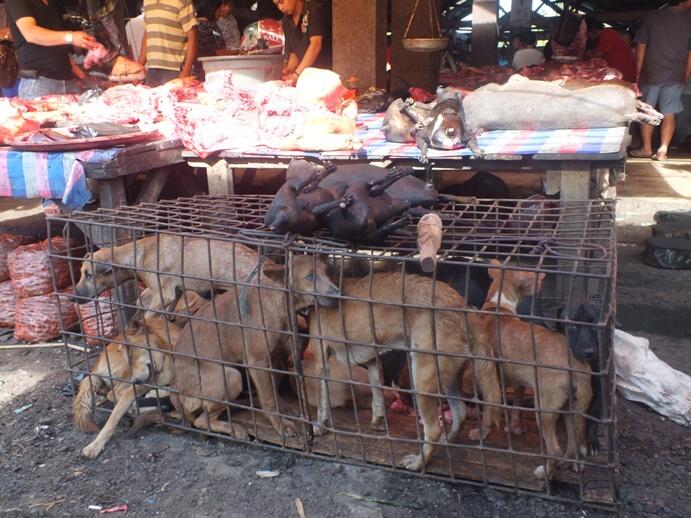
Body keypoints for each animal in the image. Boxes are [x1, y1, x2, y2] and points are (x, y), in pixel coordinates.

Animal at [73, 235, 262, 316]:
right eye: (82, 273)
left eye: (88, 275)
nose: (72, 298)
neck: (138, 254)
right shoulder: (176, 293)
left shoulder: (162, 295)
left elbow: (148, 317)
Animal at [74, 318, 182, 462]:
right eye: (128, 358)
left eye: (131, 355)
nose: (134, 381)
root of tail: (95, 366)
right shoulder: (140, 384)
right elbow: (112, 418)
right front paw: (95, 445)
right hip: (124, 376)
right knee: (112, 393)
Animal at [308, 274, 502, 474]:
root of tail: (464, 309)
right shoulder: (373, 361)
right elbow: (377, 396)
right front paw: (377, 421)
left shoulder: (321, 363)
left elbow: (323, 403)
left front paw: (320, 427)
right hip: (448, 381)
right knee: (460, 413)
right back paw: (448, 441)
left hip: (422, 383)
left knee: (433, 429)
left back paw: (418, 463)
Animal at [476, 264, 596, 484]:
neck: (498, 307)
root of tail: (577, 365)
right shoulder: (518, 383)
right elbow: (515, 408)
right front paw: (514, 427)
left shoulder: (489, 379)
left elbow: (488, 412)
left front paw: (480, 433)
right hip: (570, 409)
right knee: (573, 443)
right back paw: (564, 464)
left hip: (544, 410)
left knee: (555, 449)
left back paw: (545, 473)